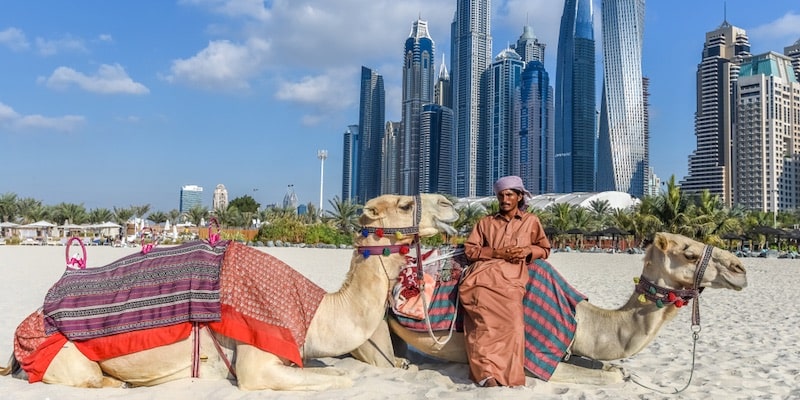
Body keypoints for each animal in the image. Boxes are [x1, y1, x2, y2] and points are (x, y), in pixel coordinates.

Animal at [0, 194, 460, 390]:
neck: (314, 311)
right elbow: (342, 378)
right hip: (66, 358)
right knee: (94, 381)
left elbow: (339, 373)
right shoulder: (256, 357)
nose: (452, 203)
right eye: (405, 204)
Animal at [356, 233, 752, 386]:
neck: (583, 322)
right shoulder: (539, 359)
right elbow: (612, 376)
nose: (740, 269)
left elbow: (612, 367)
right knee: (387, 361)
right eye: (689, 252)